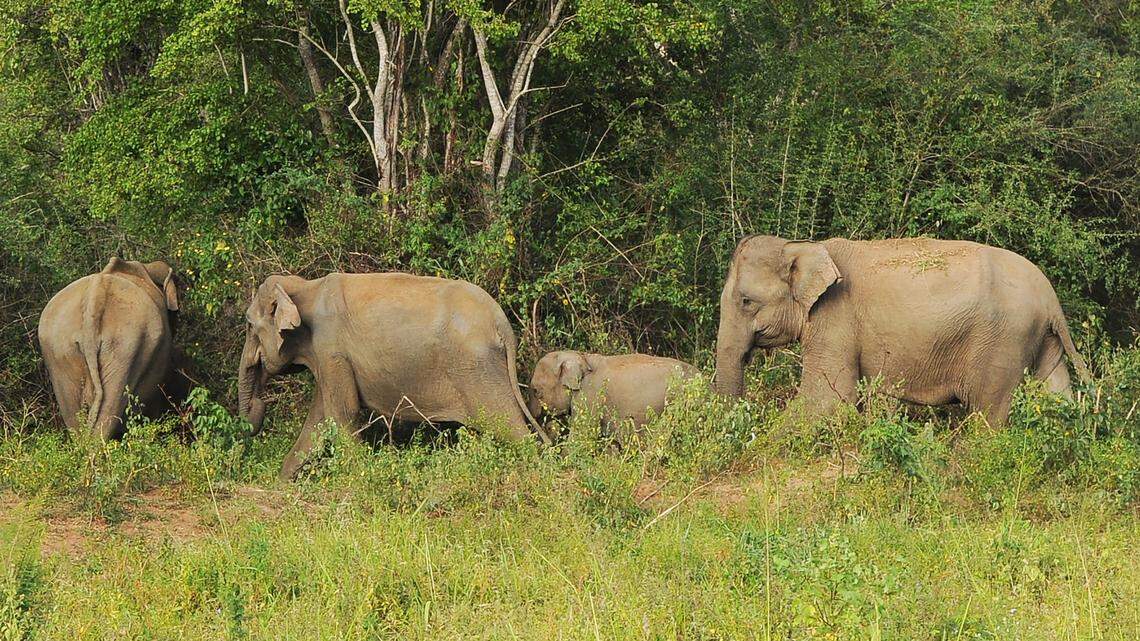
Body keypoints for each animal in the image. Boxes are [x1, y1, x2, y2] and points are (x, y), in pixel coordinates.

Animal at [237, 272, 552, 479]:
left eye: (249, 325)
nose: (259, 404)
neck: (304, 285)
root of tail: (502, 323)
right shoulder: (326, 357)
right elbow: (320, 420)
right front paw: (282, 484)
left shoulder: (331, 351)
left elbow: (343, 414)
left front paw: (360, 478)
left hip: (477, 369)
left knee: (510, 427)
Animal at [714, 235, 1091, 424]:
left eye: (746, 301)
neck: (804, 245)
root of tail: (1050, 298)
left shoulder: (835, 318)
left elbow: (827, 400)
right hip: (1042, 338)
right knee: (1057, 394)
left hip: (1003, 342)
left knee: (988, 413)